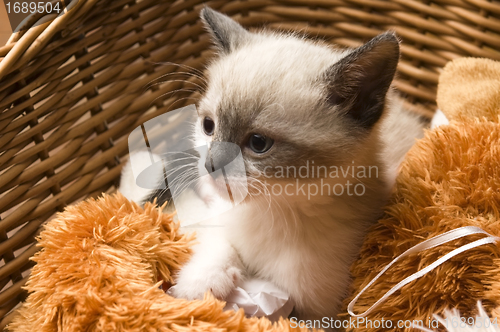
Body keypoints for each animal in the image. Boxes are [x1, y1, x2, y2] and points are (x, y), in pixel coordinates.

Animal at [123, 7, 424, 326]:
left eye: (258, 143)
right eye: (208, 126)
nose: (210, 164)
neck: (271, 214)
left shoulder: (316, 314)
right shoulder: (220, 215)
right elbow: (218, 241)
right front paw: (200, 285)